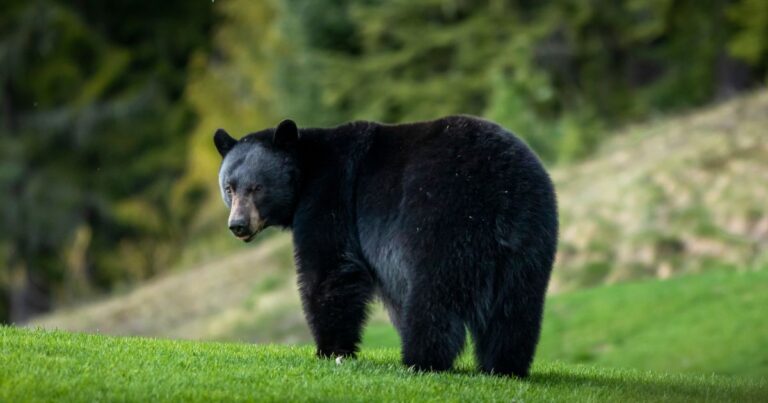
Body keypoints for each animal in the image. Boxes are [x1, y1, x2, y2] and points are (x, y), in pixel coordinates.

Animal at [214, 116, 558, 377]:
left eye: (257, 187)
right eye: (229, 187)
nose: (238, 225)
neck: (307, 168)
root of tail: (502, 192)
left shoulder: (331, 196)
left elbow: (329, 268)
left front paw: (330, 349)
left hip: (444, 221)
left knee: (434, 298)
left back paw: (421, 360)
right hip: (531, 239)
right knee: (516, 309)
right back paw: (504, 366)